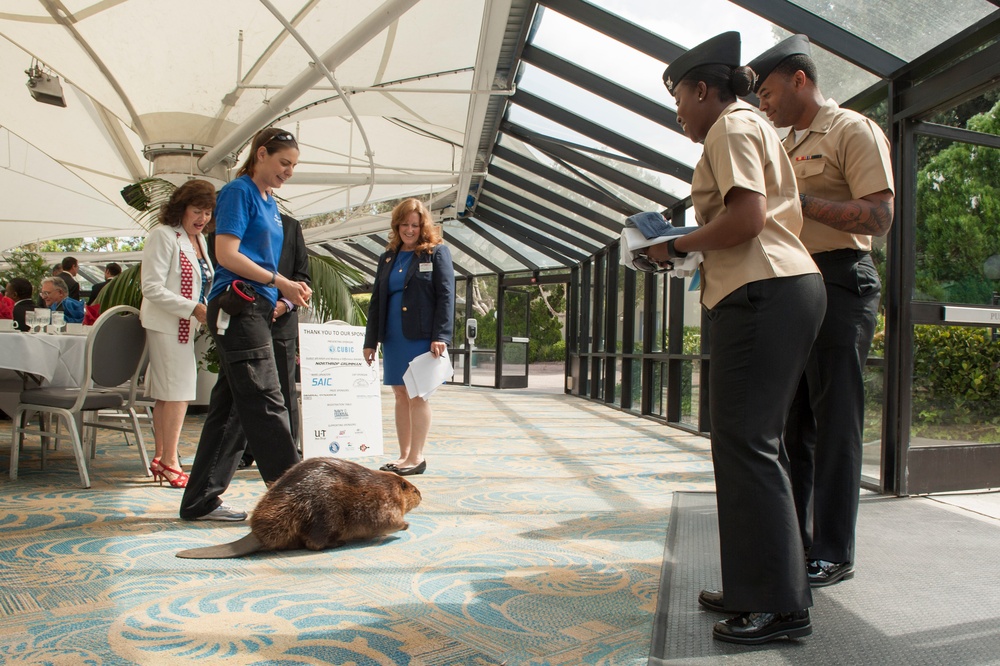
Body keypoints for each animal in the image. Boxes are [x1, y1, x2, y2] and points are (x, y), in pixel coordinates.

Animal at [174, 456, 420, 556]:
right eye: (413, 490)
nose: (420, 495)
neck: (386, 485)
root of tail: (258, 535)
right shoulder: (384, 502)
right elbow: (389, 520)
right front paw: (405, 525)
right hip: (326, 516)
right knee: (313, 543)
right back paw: (337, 543)